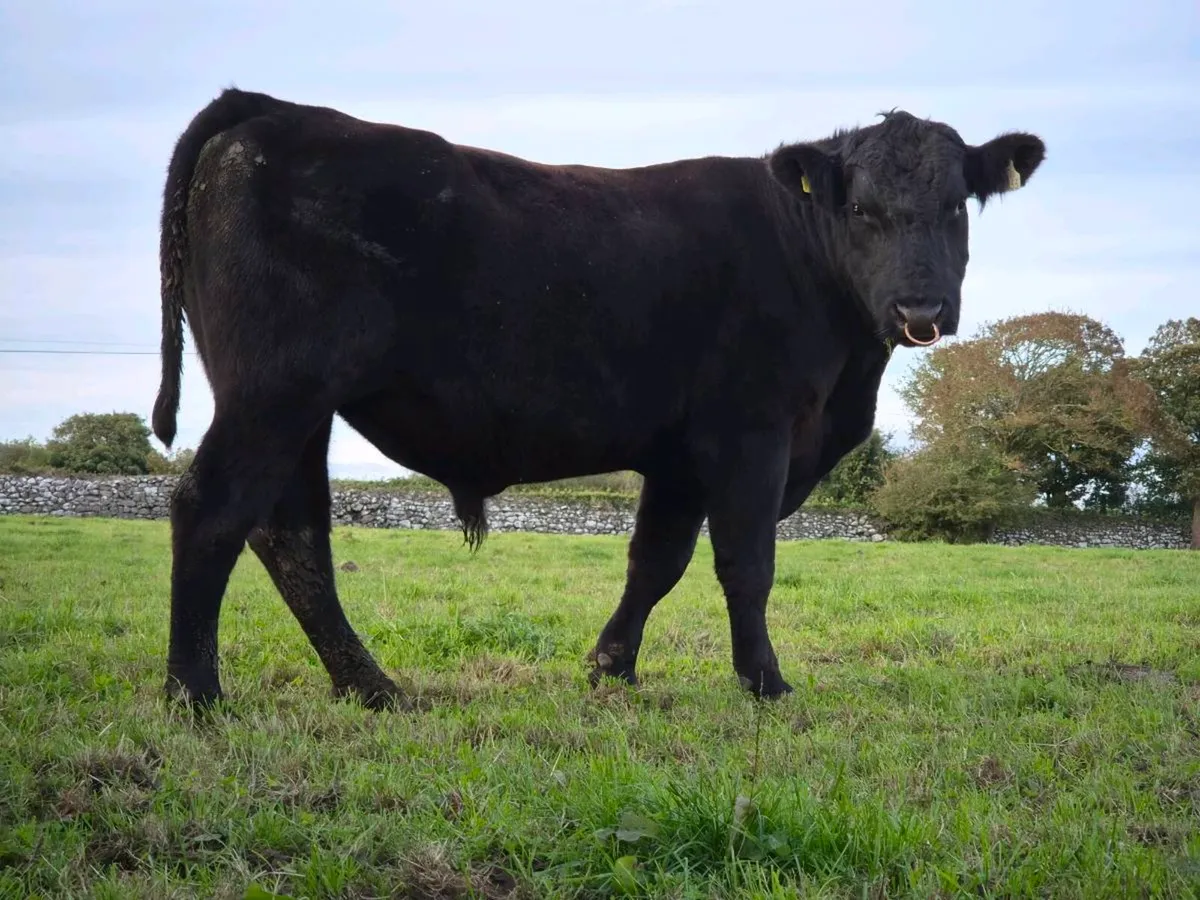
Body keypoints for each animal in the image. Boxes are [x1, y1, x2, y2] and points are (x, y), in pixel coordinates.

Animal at [152, 87, 1045, 711]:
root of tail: (271, 109)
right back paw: (196, 694)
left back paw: (370, 688)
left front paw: (612, 669)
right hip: (275, 392)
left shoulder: (680, 456)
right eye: (859, 209)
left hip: (300, 408)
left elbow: (656, 561)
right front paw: (765, 683)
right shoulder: (751, 432)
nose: (921, 310)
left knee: (292, 534)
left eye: (956, 206)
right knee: (214, 509)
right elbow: (746, 563)